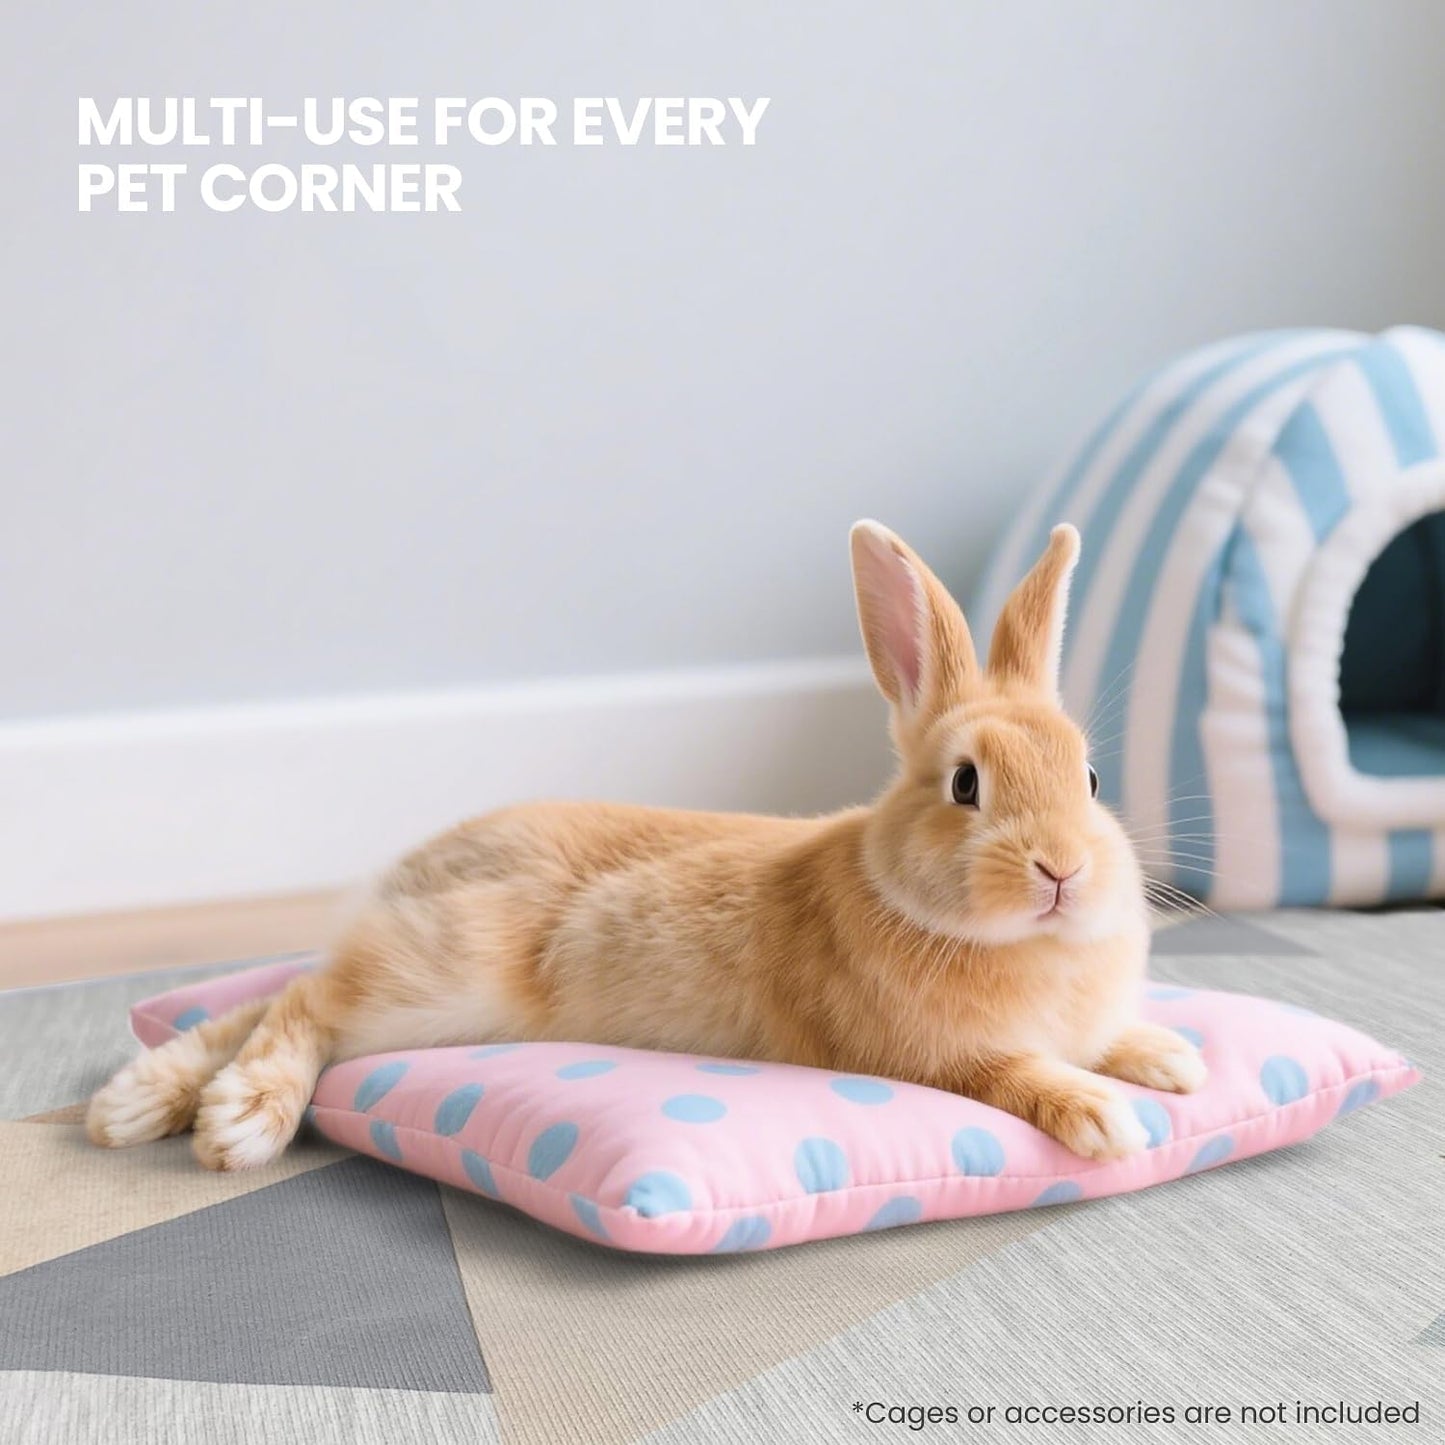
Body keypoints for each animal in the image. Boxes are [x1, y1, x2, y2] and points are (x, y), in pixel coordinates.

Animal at [87, 520, 1204, 1172]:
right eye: (965, 784)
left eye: (1090, 779)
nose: (1062, 870)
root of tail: (412, 868)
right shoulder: (922, 1055)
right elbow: (1014, 1075)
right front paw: (1105, 1116)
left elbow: (1114, 1036)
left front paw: (1172, 1058)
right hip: (443, 982)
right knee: (304, 1002)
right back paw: (238, 1119)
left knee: (268, 994)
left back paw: (131, 1103)